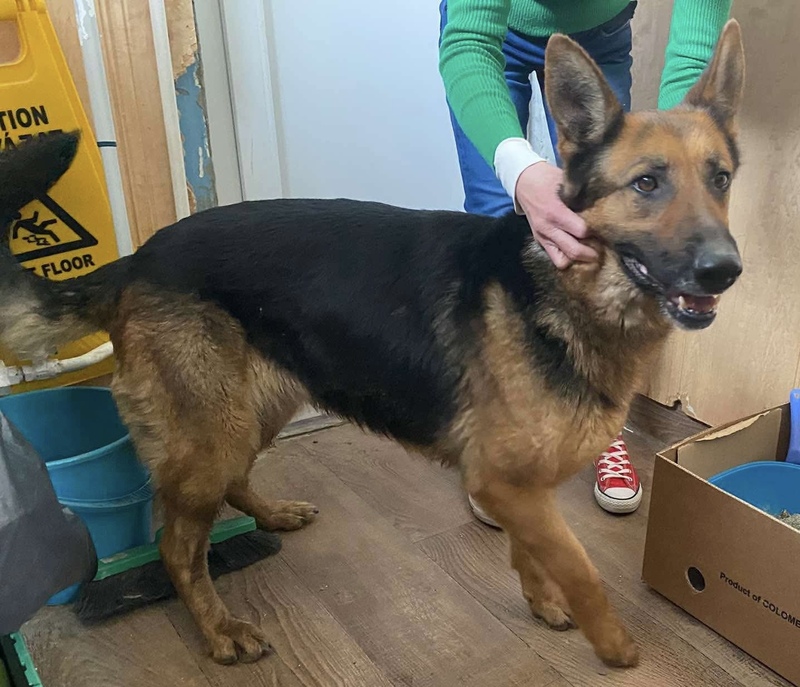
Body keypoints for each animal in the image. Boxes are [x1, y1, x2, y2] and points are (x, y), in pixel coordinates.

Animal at [0, 21, 744, 668]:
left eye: (721, 179)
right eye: (647, 183)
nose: (725, 271)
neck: (565, 286)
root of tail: (135, 260)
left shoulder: (522, 488)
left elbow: (532, 554)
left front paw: (542, 603)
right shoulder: (507, 483)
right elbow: (580, 568)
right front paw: (614, 646)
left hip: (252, 411)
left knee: (233, 483)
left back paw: (273, 515)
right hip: (212, 434)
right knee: (176, 545)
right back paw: (218, 631)